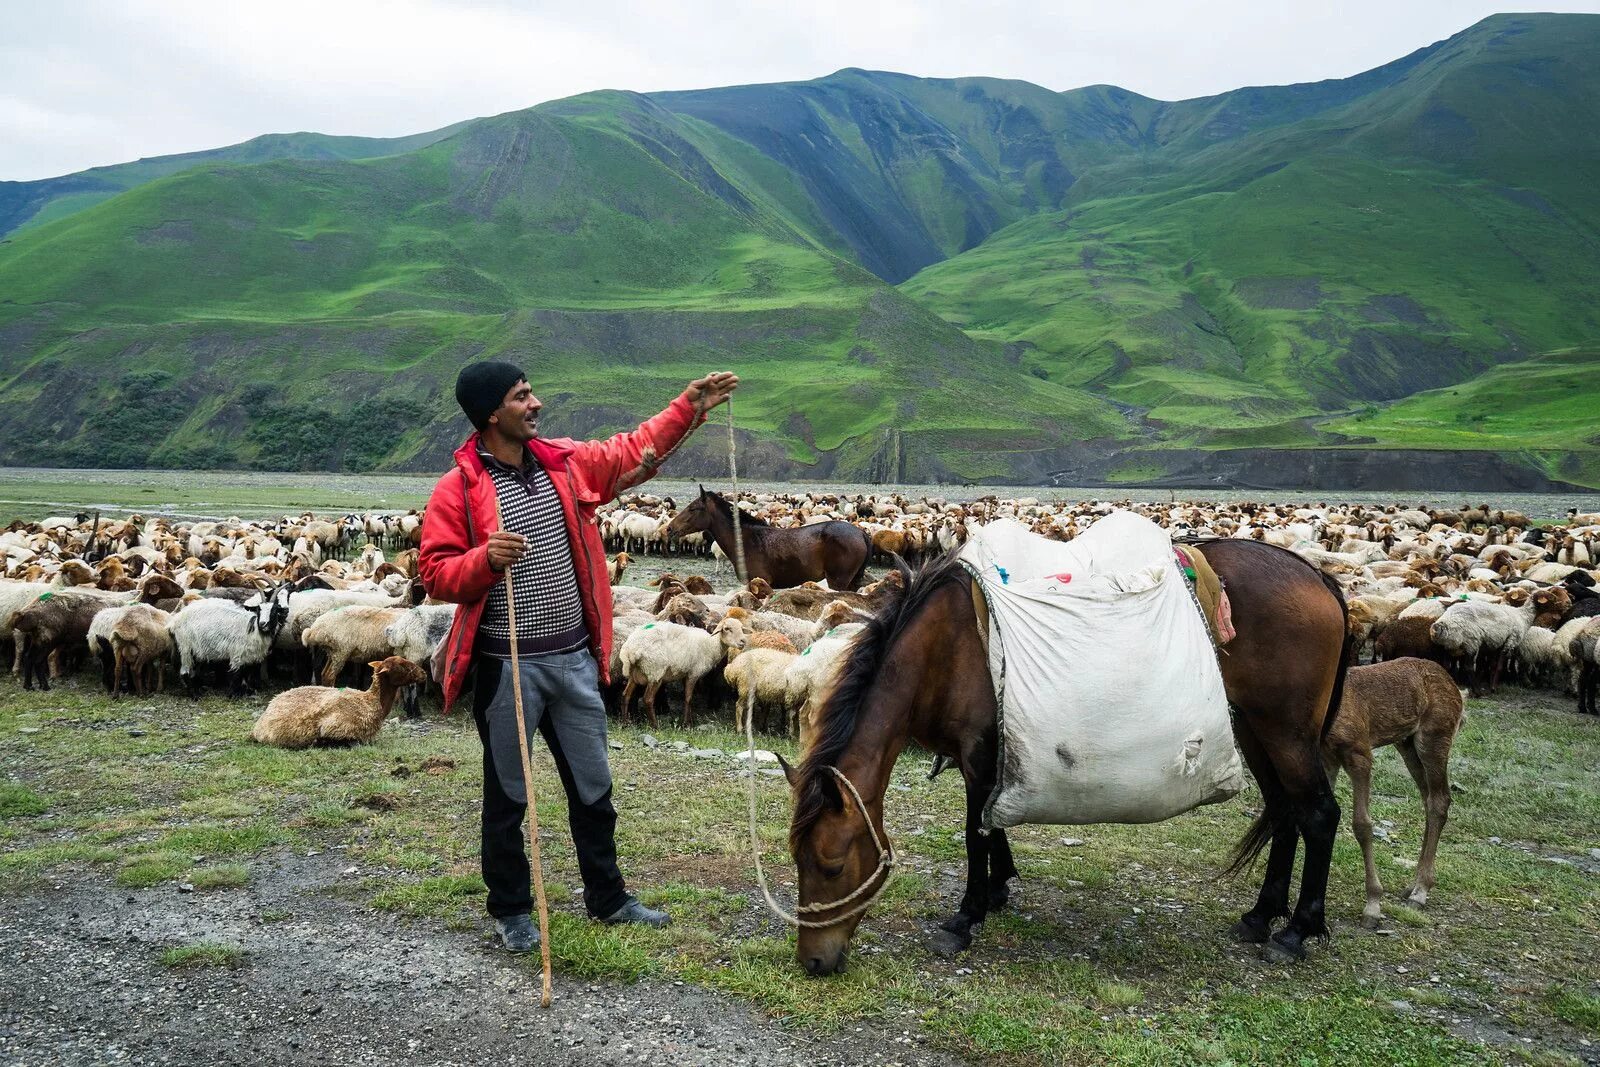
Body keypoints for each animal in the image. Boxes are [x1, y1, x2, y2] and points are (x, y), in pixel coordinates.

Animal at [780, 543, 1356, 979]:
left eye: (831, 866)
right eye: (797, 861)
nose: (813, 962)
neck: (944, 646)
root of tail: (1316, 575)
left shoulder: (980, 753)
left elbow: (976, 831)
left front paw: (965, 917)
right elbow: (993, 824)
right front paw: (999, 888)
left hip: (1285, 732)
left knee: (1319, 815)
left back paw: (1297, 930)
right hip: (1258, 731)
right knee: (1285, 811)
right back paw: (1260, 916)